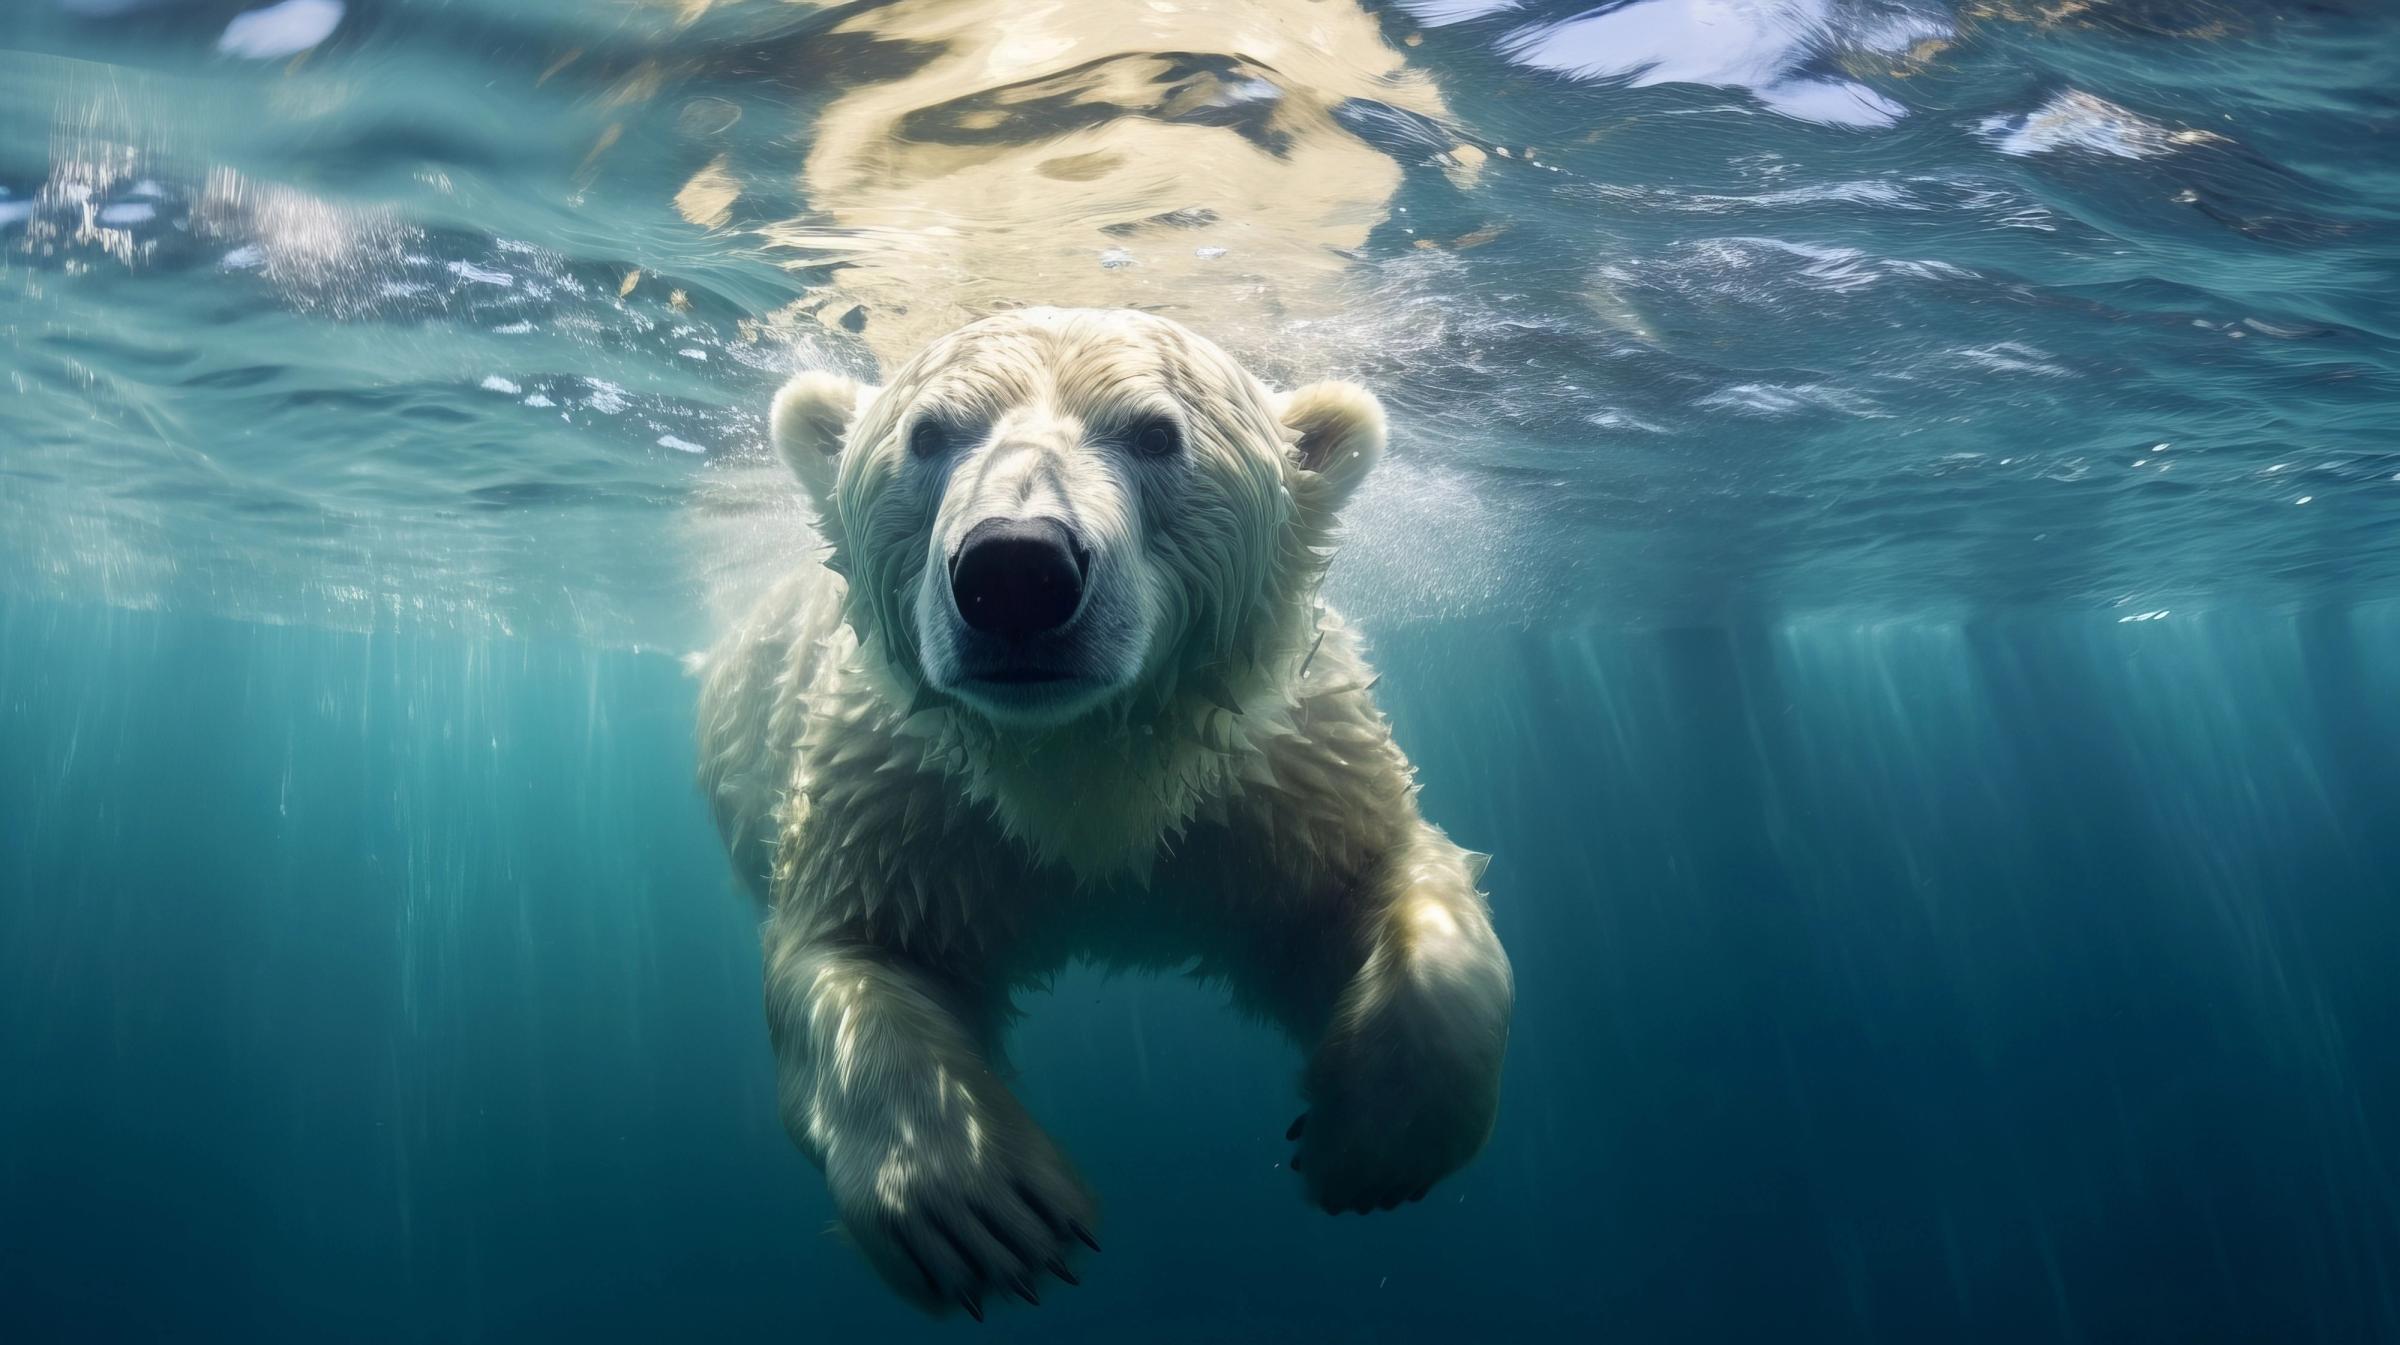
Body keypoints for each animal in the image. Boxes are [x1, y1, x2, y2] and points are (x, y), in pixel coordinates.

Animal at [693, 307, 1512, 1318]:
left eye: (1155, 433)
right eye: (927, 434)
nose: (1015, 571)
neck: (1085, 767)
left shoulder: (1274, 772)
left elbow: (1386, 878)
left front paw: (1369, 1142)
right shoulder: (904, 791)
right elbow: (845, 948)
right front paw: (983, 1207)